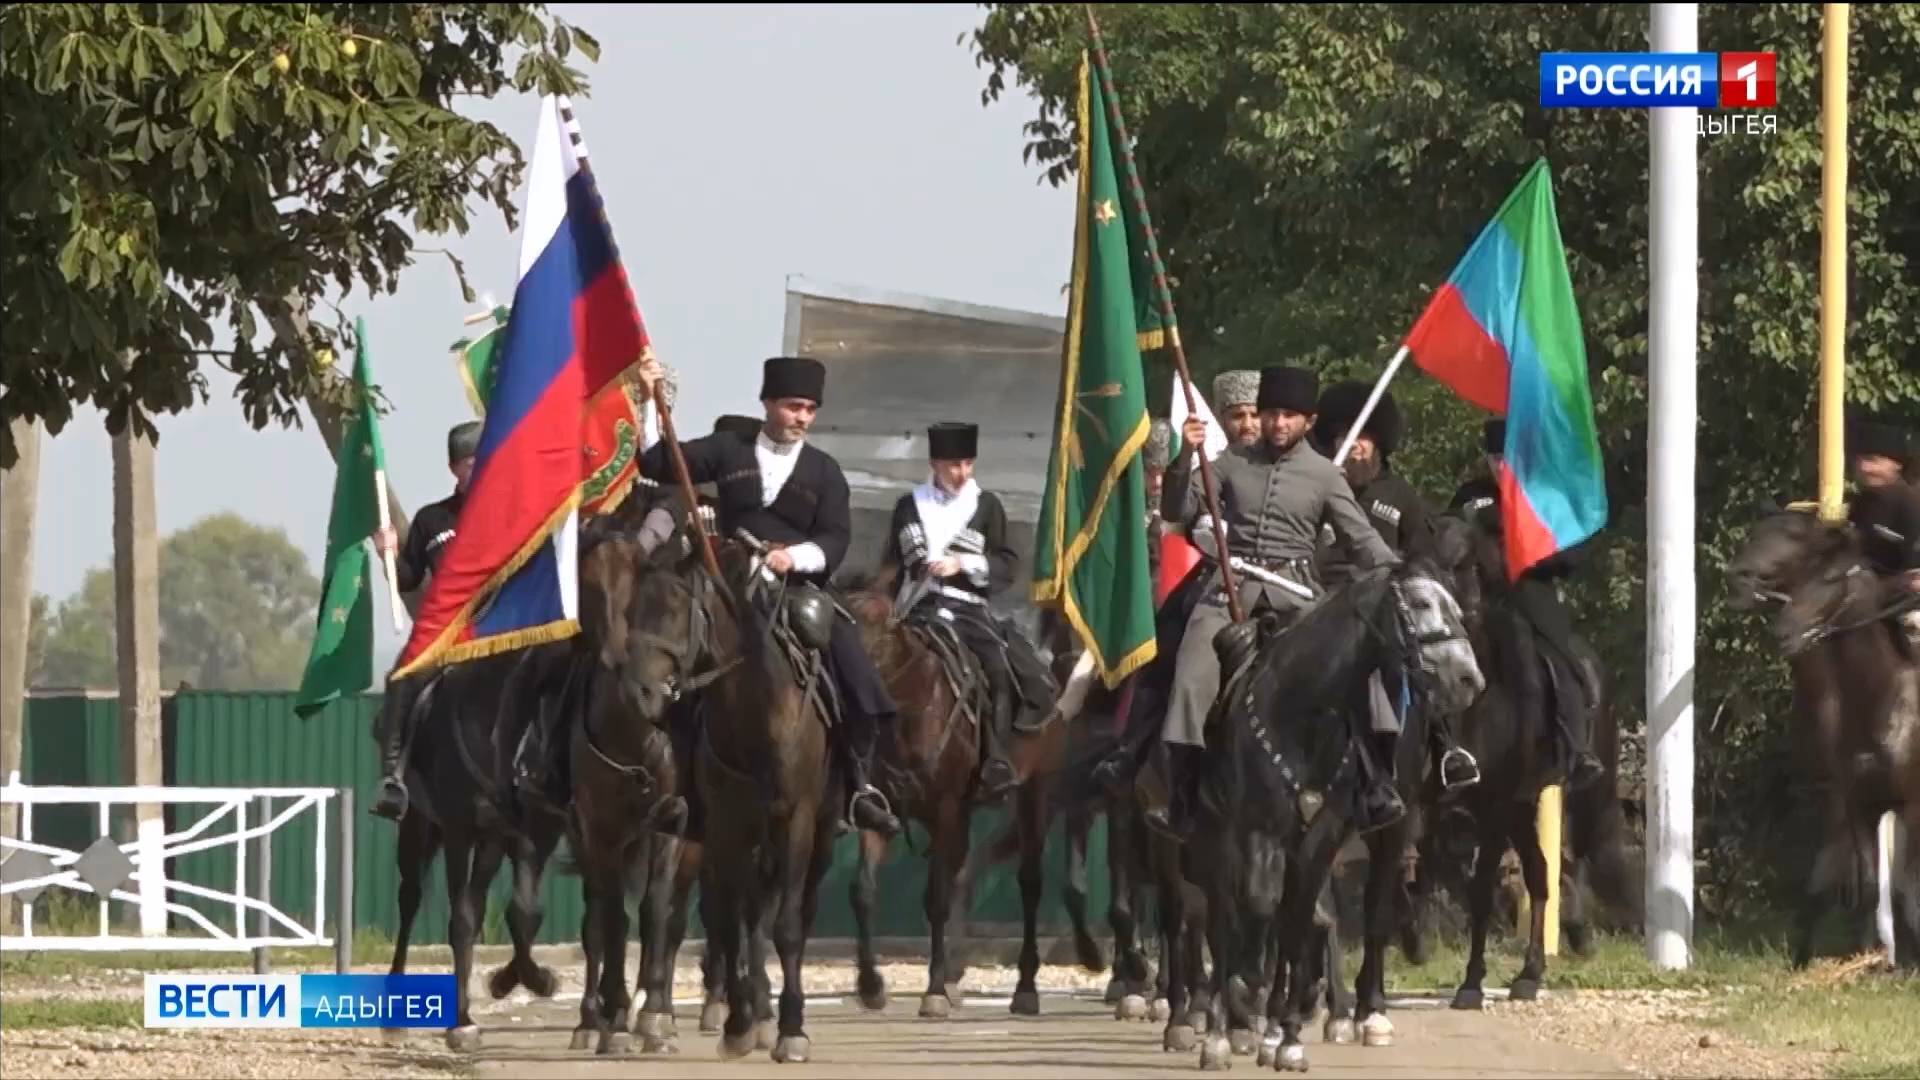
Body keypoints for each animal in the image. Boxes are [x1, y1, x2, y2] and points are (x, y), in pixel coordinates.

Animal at [1728, 503, 1920, 968]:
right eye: (1804, 576)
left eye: (1832, 579)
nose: (1783, 631)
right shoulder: (1859, 805)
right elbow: (1869, 884)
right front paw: (1879, 960)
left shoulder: (1910, 804)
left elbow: (1905, 887)